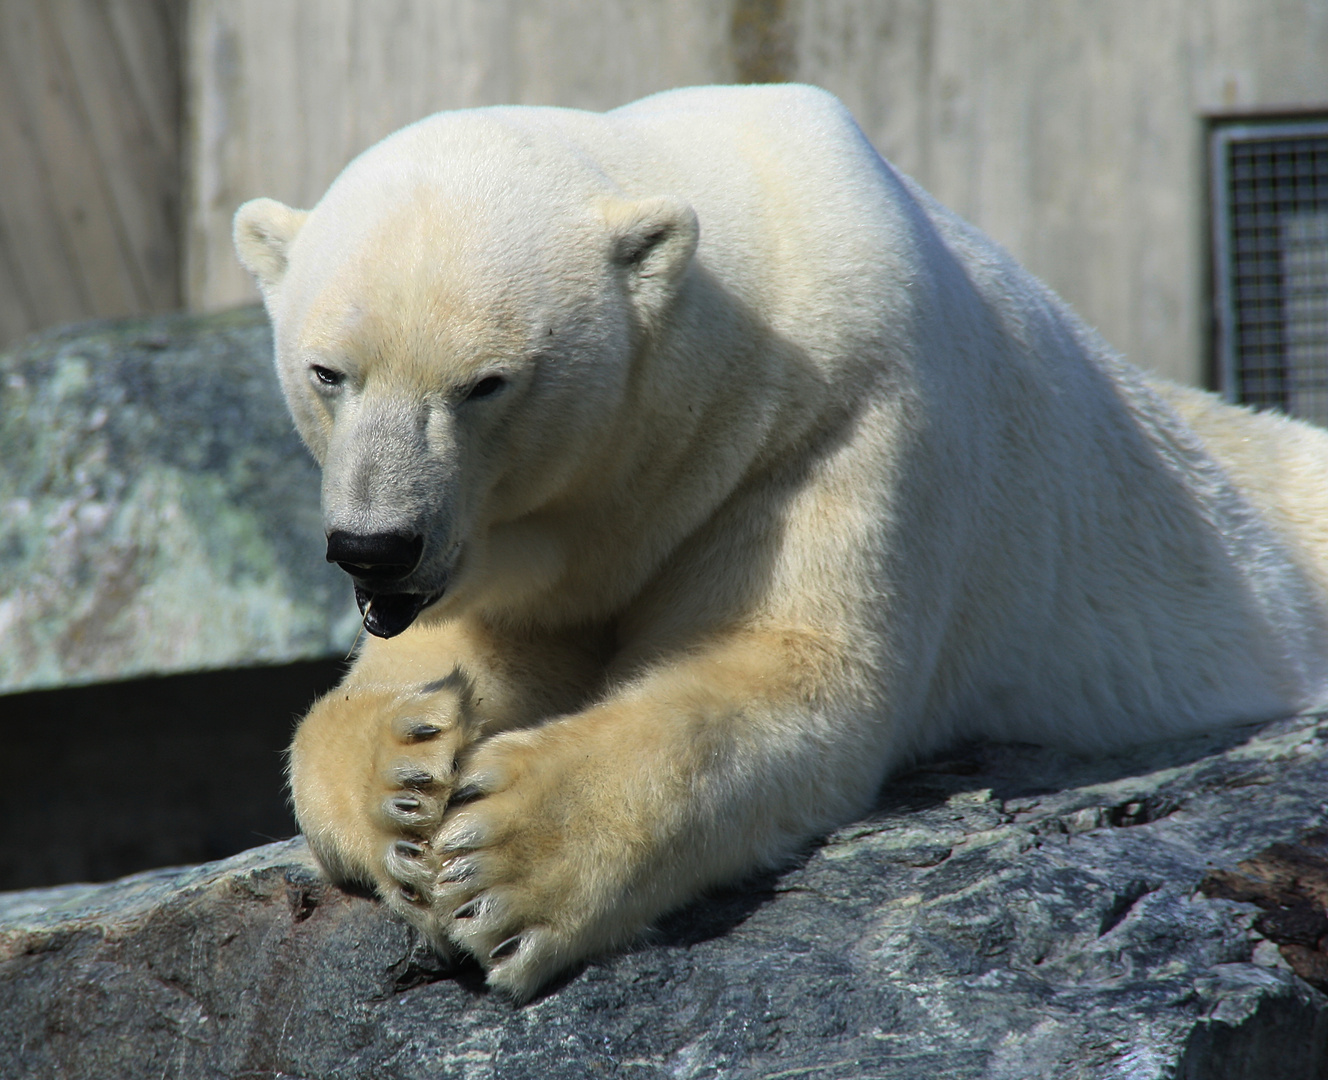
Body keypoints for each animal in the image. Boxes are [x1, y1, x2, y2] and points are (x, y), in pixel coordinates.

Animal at [233, 86, 1328, 1004]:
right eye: (329, 372)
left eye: (486, 383)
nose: (375, 547)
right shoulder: (514, 548)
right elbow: (461, 656)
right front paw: (400, 779)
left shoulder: (841, 421)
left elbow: (789, 668)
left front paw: (504, 863)